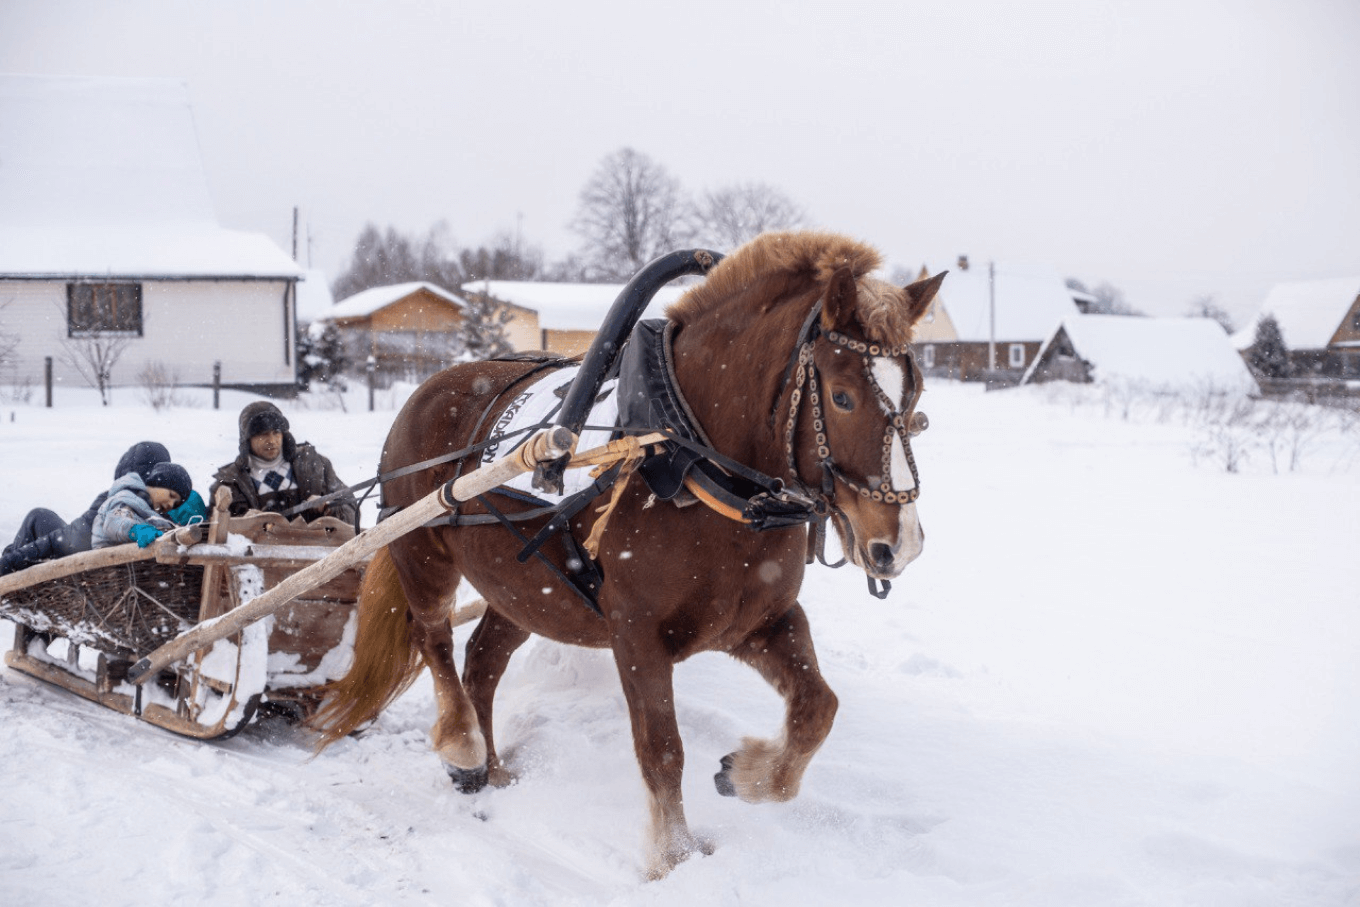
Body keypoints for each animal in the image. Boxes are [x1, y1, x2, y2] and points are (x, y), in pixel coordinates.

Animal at [311, 232, 941, 881]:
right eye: (841, 396)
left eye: (916, 394)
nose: (900, 543)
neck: (686, 456)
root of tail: (426, 390)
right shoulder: (636, 633)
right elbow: (662, 748)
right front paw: (674, 859)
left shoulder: (758, 621)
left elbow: (819, 707)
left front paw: (747, 776)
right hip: (421, 549)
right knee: (434, 638)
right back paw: (464, 749)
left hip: (523, 589)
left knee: (482, 661)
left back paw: (493, 769)